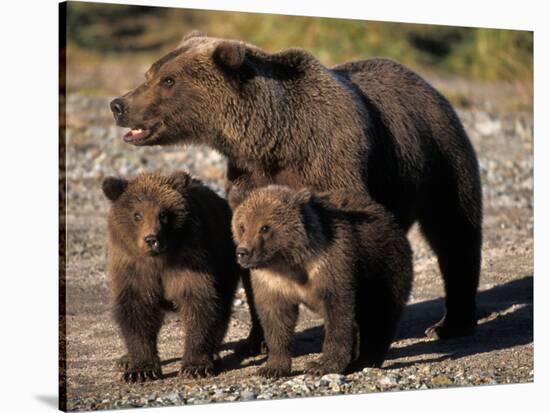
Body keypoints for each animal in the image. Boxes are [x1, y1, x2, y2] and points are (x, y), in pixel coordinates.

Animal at [111, 31, 484, 348]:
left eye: (168, 80)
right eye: (149, 73)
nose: (118, 105)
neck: (274, 141)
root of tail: (425, 82)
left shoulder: (332, 165)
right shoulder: (247, 180)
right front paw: (257, 338)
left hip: (439, 154)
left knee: (455, 232)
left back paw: (450, 324)